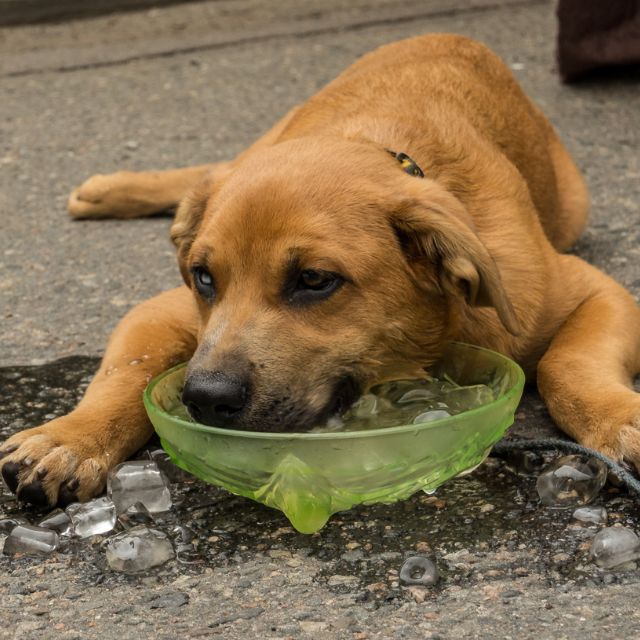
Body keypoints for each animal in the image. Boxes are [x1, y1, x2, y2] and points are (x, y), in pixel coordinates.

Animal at [1, 35, 640, 508]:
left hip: (573, 202)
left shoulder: (593, 292)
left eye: (313, 280)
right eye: (204, 278)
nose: (204, 399)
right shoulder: (161, 310)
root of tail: (447, 36)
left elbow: (566, 364)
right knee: (213, 169)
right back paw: (110, 190)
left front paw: (619, 422)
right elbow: (122, 377)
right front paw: (69, 439)